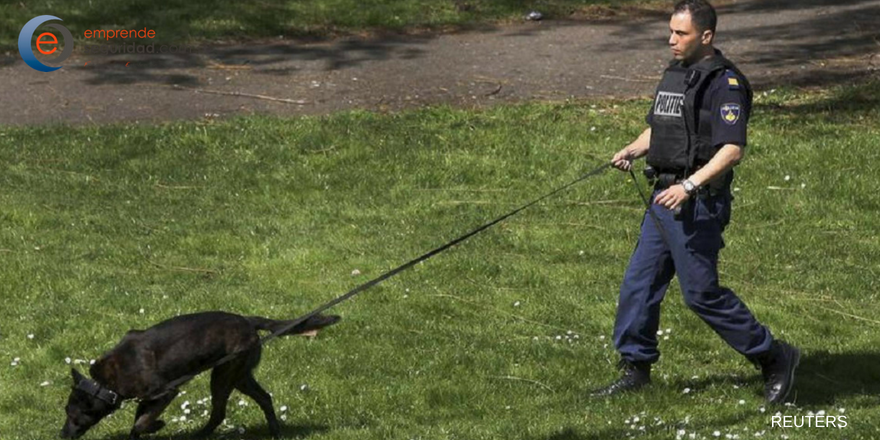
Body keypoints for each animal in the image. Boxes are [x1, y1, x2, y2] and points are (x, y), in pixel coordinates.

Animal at [59, 312, 340, 438]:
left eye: (73, 415)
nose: (61, 435)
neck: (103, 384)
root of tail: (248, 321)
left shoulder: (166, 392)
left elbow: (141, 423)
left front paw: (157, 426)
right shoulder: (148, 400)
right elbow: (140, 422)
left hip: (223, 376)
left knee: (219, 413)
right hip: (239, 375)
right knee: (264, 397)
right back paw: (274, 431)